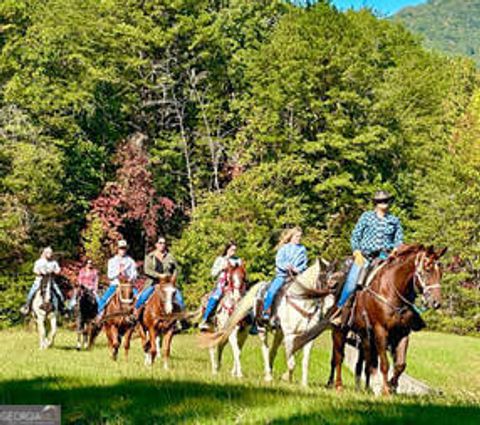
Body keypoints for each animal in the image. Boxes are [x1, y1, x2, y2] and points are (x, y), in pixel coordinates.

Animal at [202, 260, 342, 386]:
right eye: (325, 280)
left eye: (244, 278)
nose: (332, 305)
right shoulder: (289, 335)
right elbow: (291, 362)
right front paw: (286, 378)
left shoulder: (308, 337)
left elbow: (303, 361)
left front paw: (303, 384)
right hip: (259, 329)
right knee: (263, 349)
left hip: (272, 333)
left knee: (270, 351)